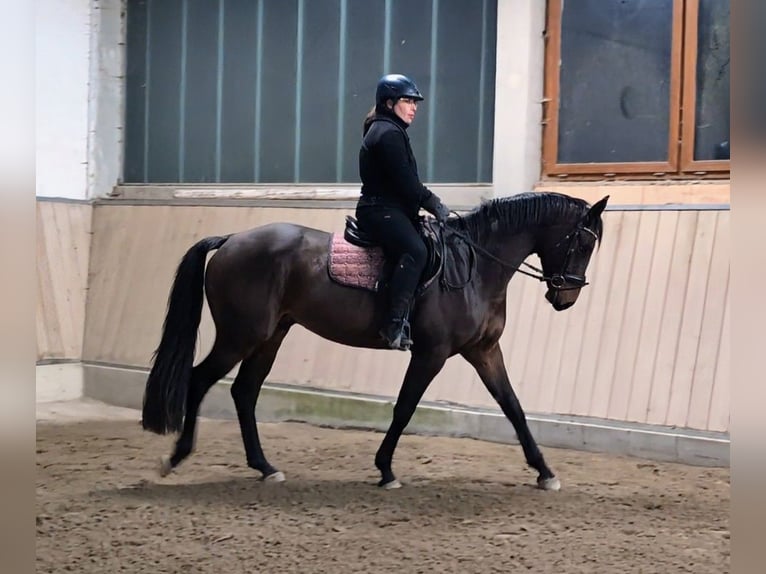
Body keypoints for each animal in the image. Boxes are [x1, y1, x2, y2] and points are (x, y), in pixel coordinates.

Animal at [144, 191, 608, 492]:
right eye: (583, 242)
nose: (565, 297)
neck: (474, 266)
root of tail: (230, 241)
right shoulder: (432, 354)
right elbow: (404, 408)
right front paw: (385, 470)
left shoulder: (483, 351)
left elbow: (512, 406)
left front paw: (545, 472)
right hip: (240, 335)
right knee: (199, 379)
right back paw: (175, 457)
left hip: (271, 335)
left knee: (244, 392)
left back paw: (265, 467)